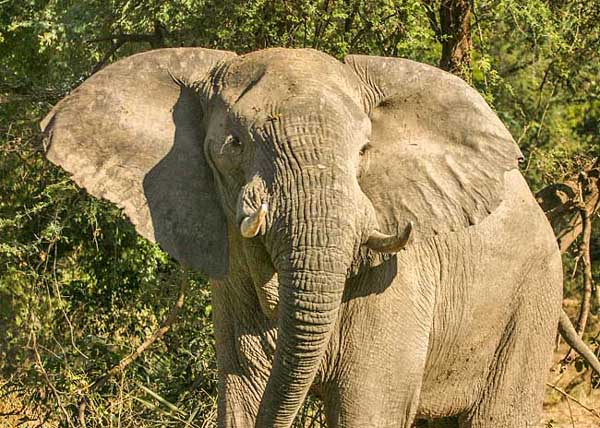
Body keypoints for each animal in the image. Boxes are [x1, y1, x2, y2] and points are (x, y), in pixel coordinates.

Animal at [39, 47, 596, 428]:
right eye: (234, 144)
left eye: (365, 151)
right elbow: (242, 397)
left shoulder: (399, 282)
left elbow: (367, 411)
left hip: (532, 299)